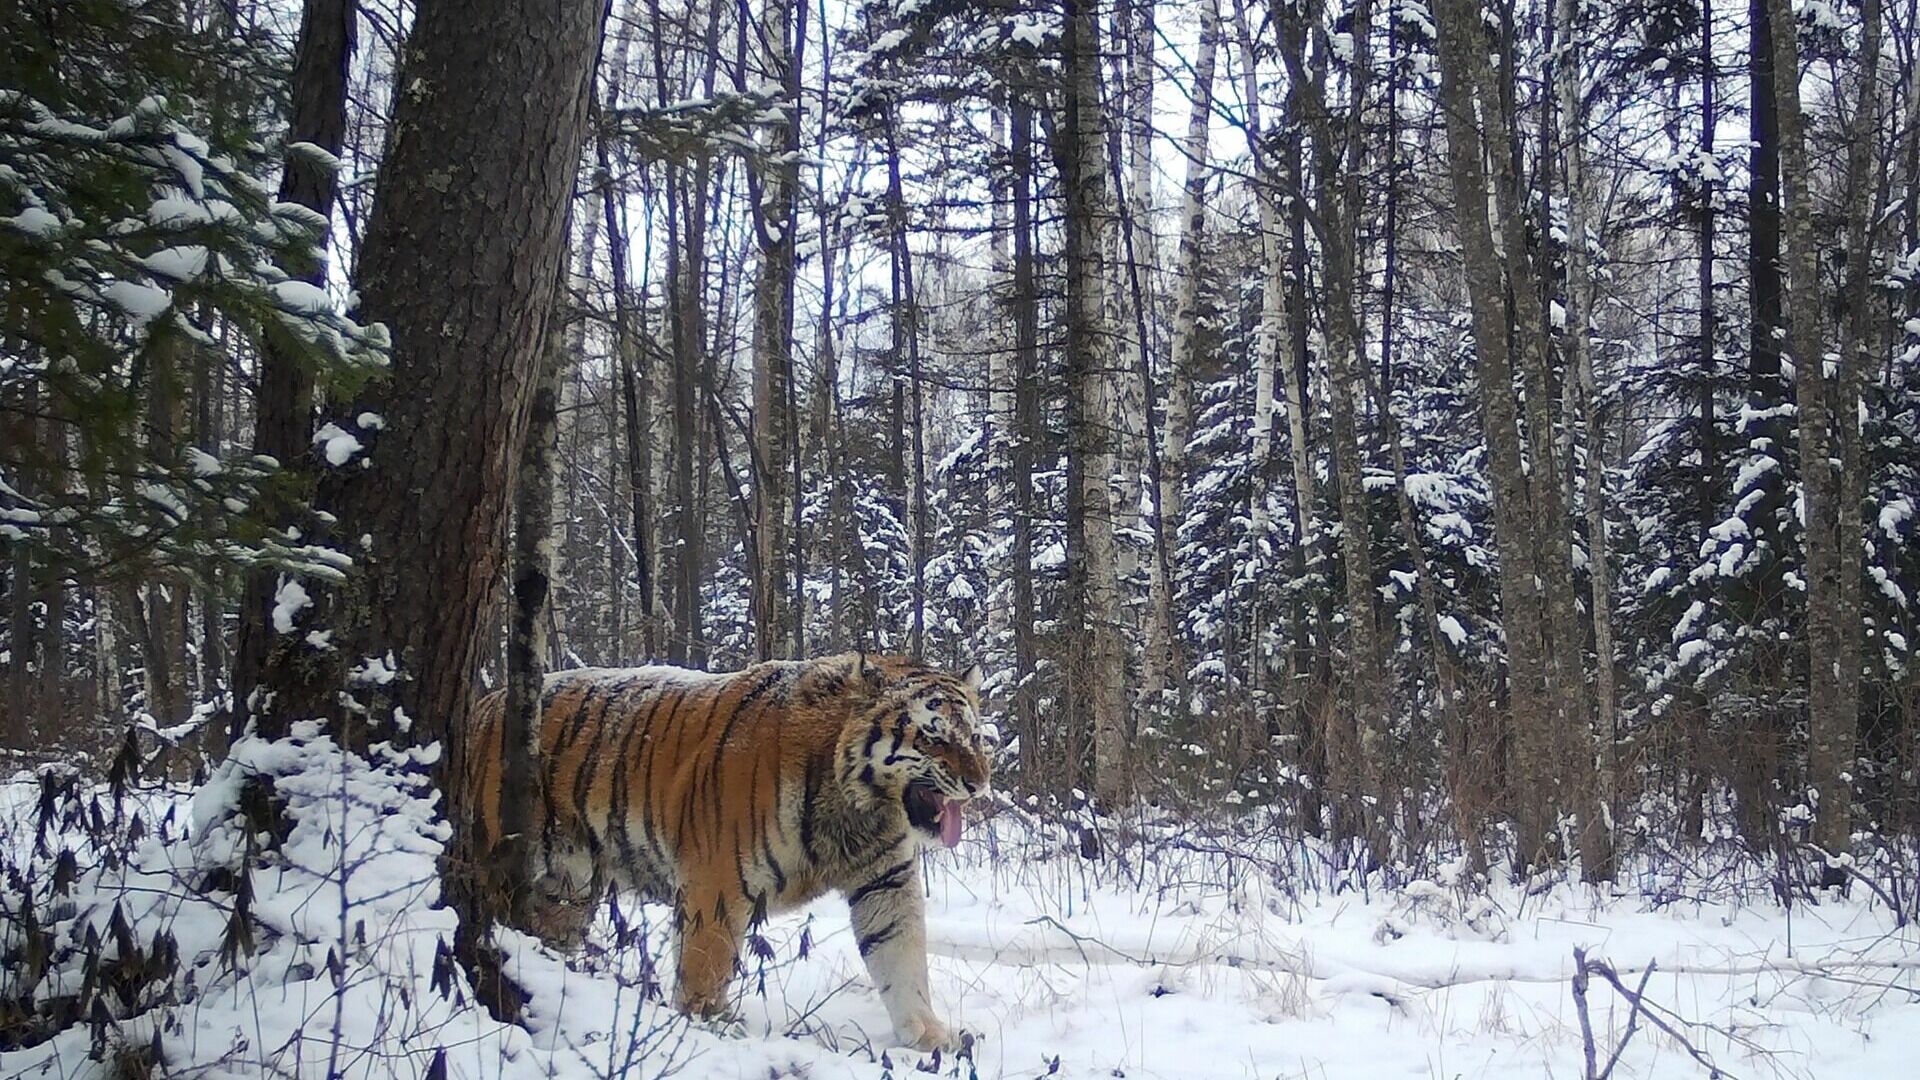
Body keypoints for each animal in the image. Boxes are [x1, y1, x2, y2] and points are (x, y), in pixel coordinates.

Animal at [460, 653, 990, 1045]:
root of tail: (483, 704)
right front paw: (708, 1025)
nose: (979, 784)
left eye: (974, 736)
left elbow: (901, 954)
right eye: (933, 735)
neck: (858, 807)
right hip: (499, 864)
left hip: (567, 890)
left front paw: (928, 1034)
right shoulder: (717, 882)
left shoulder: (885, 879)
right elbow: (706, 963)